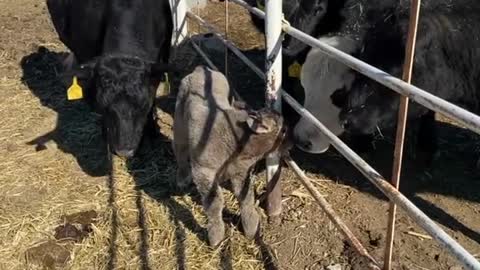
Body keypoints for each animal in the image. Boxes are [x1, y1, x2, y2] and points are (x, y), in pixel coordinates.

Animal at [172, 66, 284, 247]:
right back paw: (182, 178)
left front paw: (251, 227)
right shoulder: (204, 172)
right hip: (180, 123)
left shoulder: (241, 172)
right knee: (180, 152)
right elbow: (214, 204)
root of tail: (201, 69)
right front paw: (216, 236)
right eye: (284, 130)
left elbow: (246, 197)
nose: (295, 142)